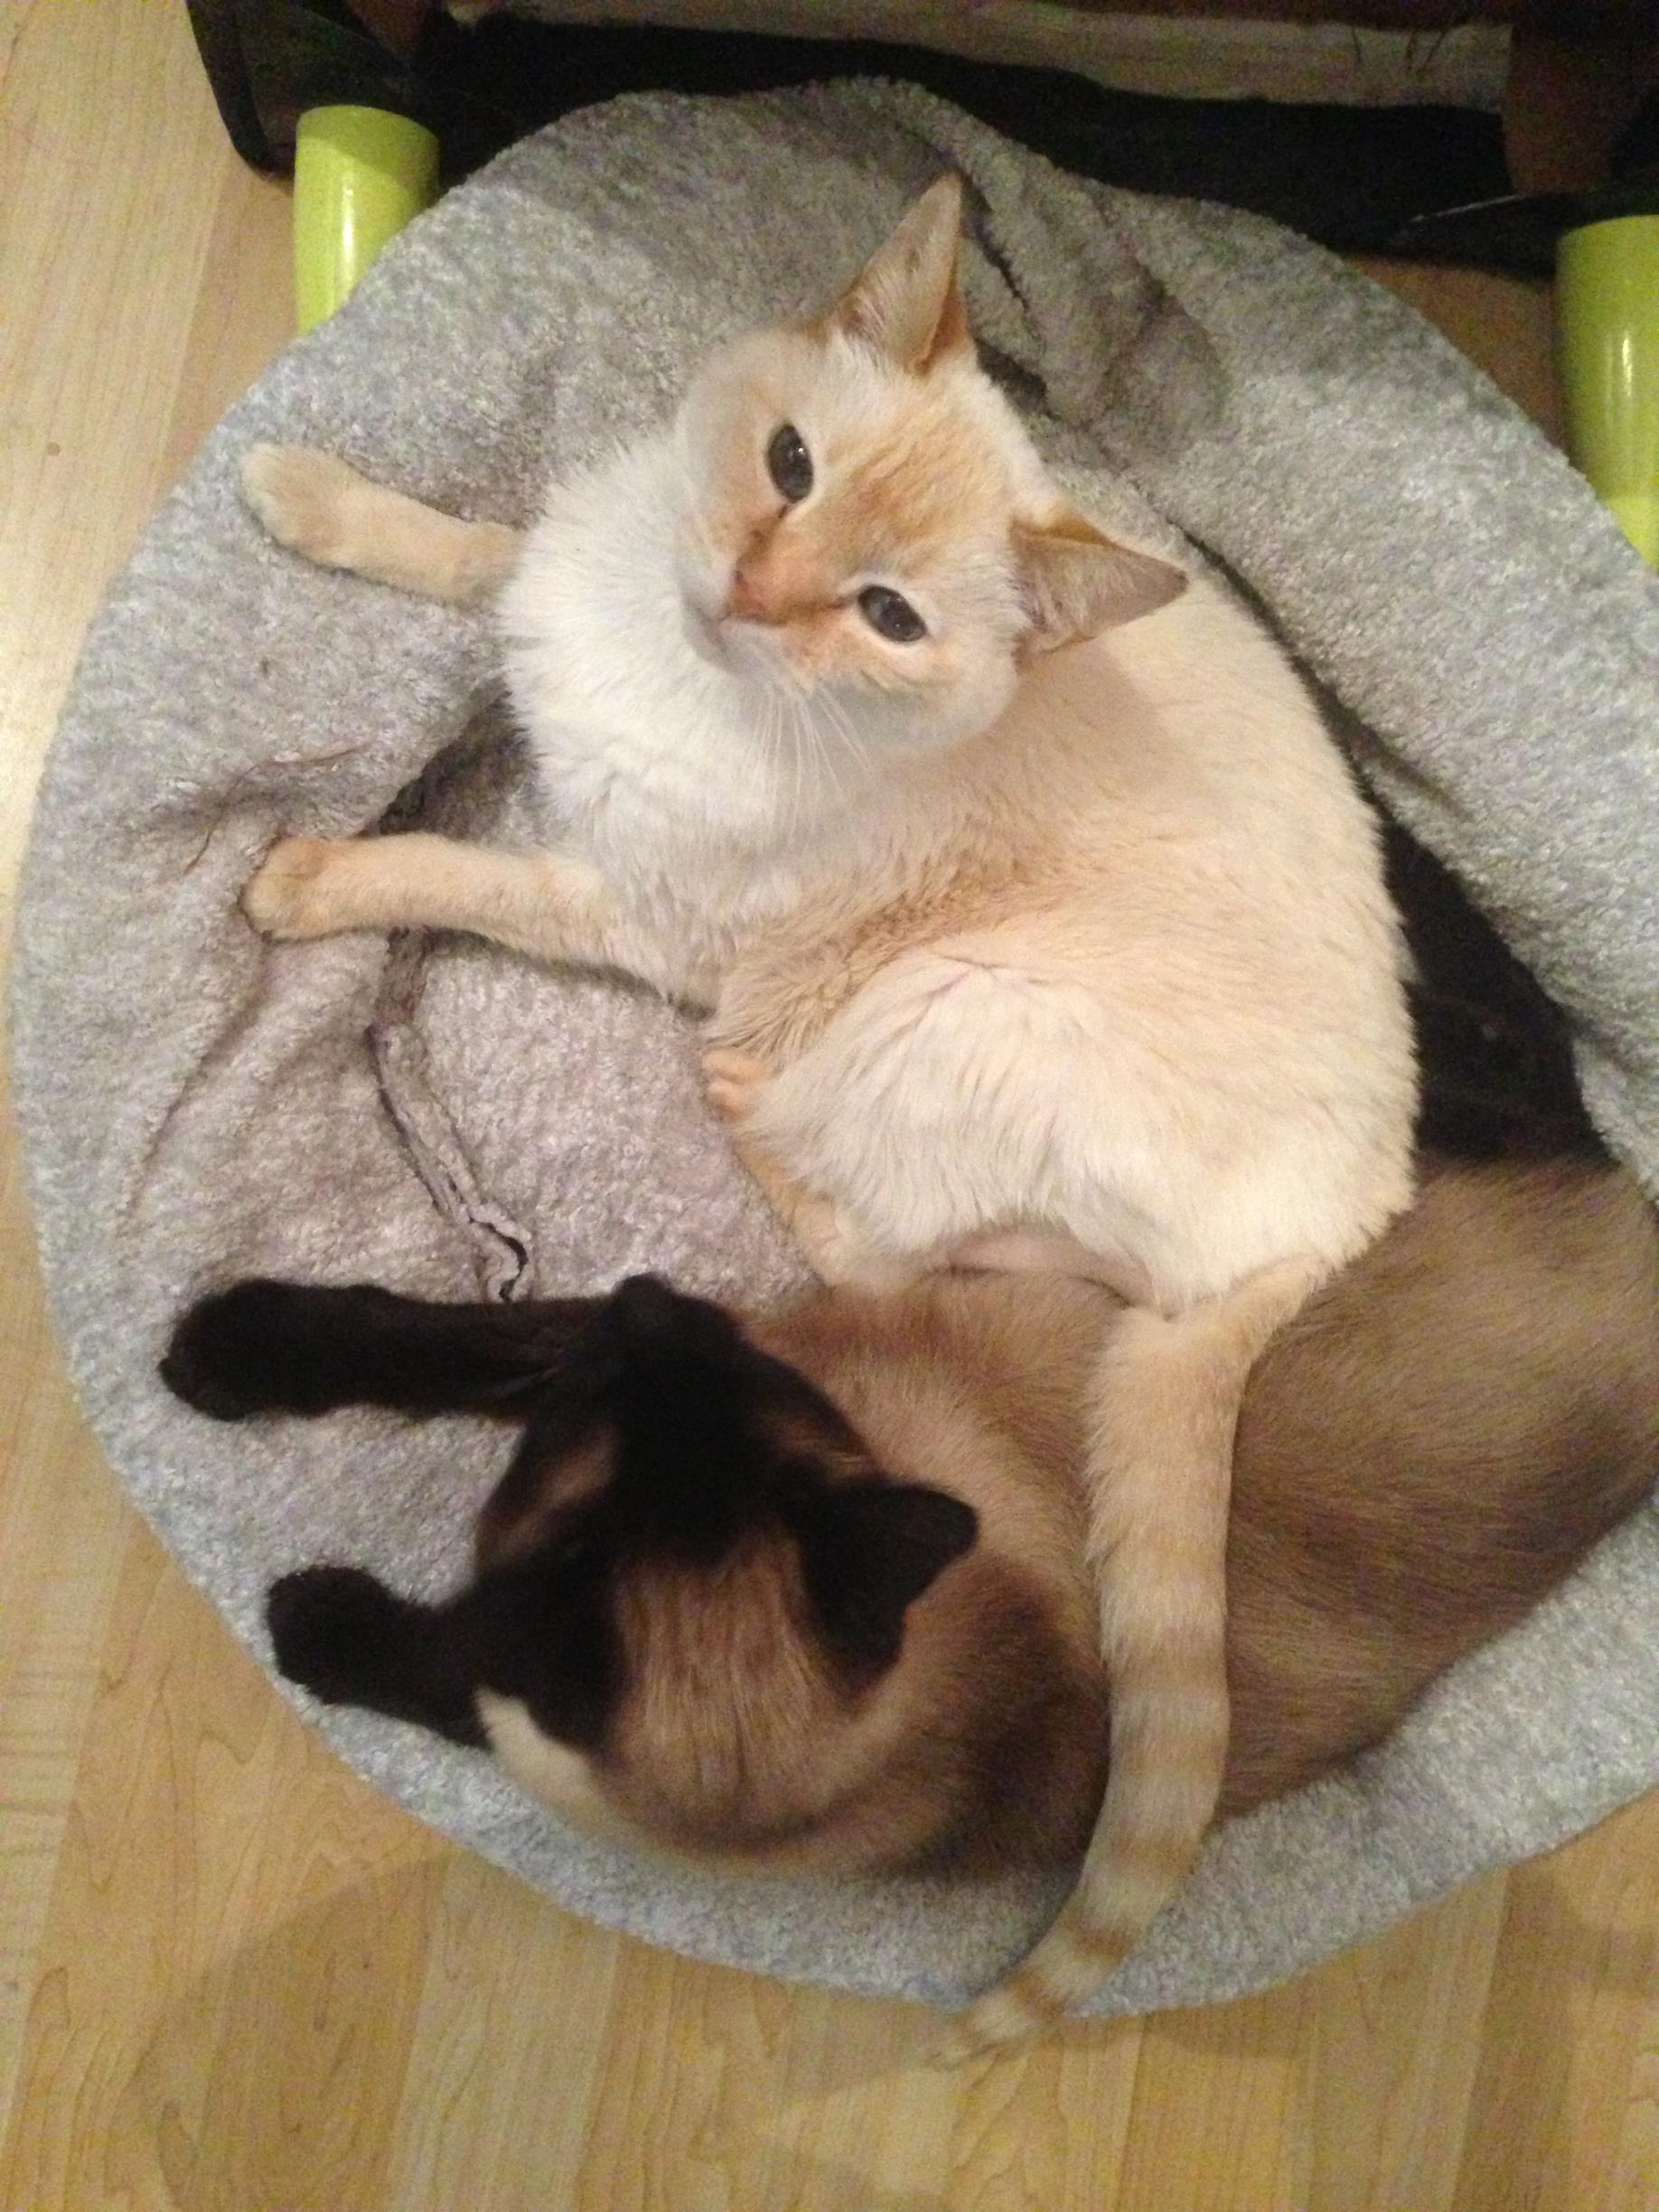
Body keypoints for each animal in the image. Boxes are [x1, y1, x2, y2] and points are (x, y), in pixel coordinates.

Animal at [239, 181, 1424, 2043]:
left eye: (886, 616)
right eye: (789, 463)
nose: (746, 585)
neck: (681, 672)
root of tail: (1354, 1205)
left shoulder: (636, 914)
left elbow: (447, 869)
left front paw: (300, 883)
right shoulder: (577, 573)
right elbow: (483, 548)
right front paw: (308, 493)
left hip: (934, 1007)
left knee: (877, 1243)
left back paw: (740, 1106)